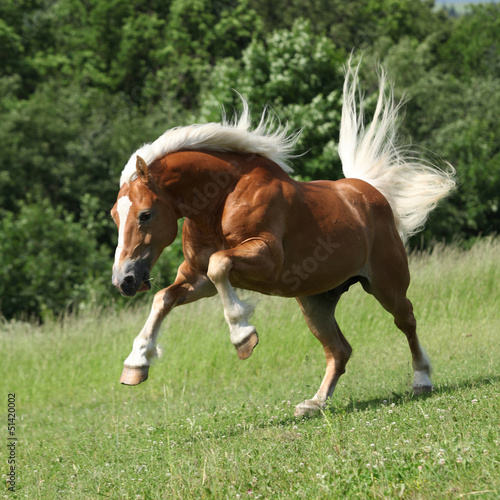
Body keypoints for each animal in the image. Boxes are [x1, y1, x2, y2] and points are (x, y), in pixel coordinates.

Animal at [111, 62, 456, 416]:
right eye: (114, 215)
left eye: (145, 214)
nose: (124, 280)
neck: (221, 199)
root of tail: (368, 191)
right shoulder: (197, 279)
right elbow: (163, 298)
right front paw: (136, 364)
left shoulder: (265, 259)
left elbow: (220, 265)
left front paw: (243, 336)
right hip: (316, 302)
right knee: (339, 350)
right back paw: (314, 403)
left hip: (386, 286)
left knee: (407, 321)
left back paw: (421, 380)